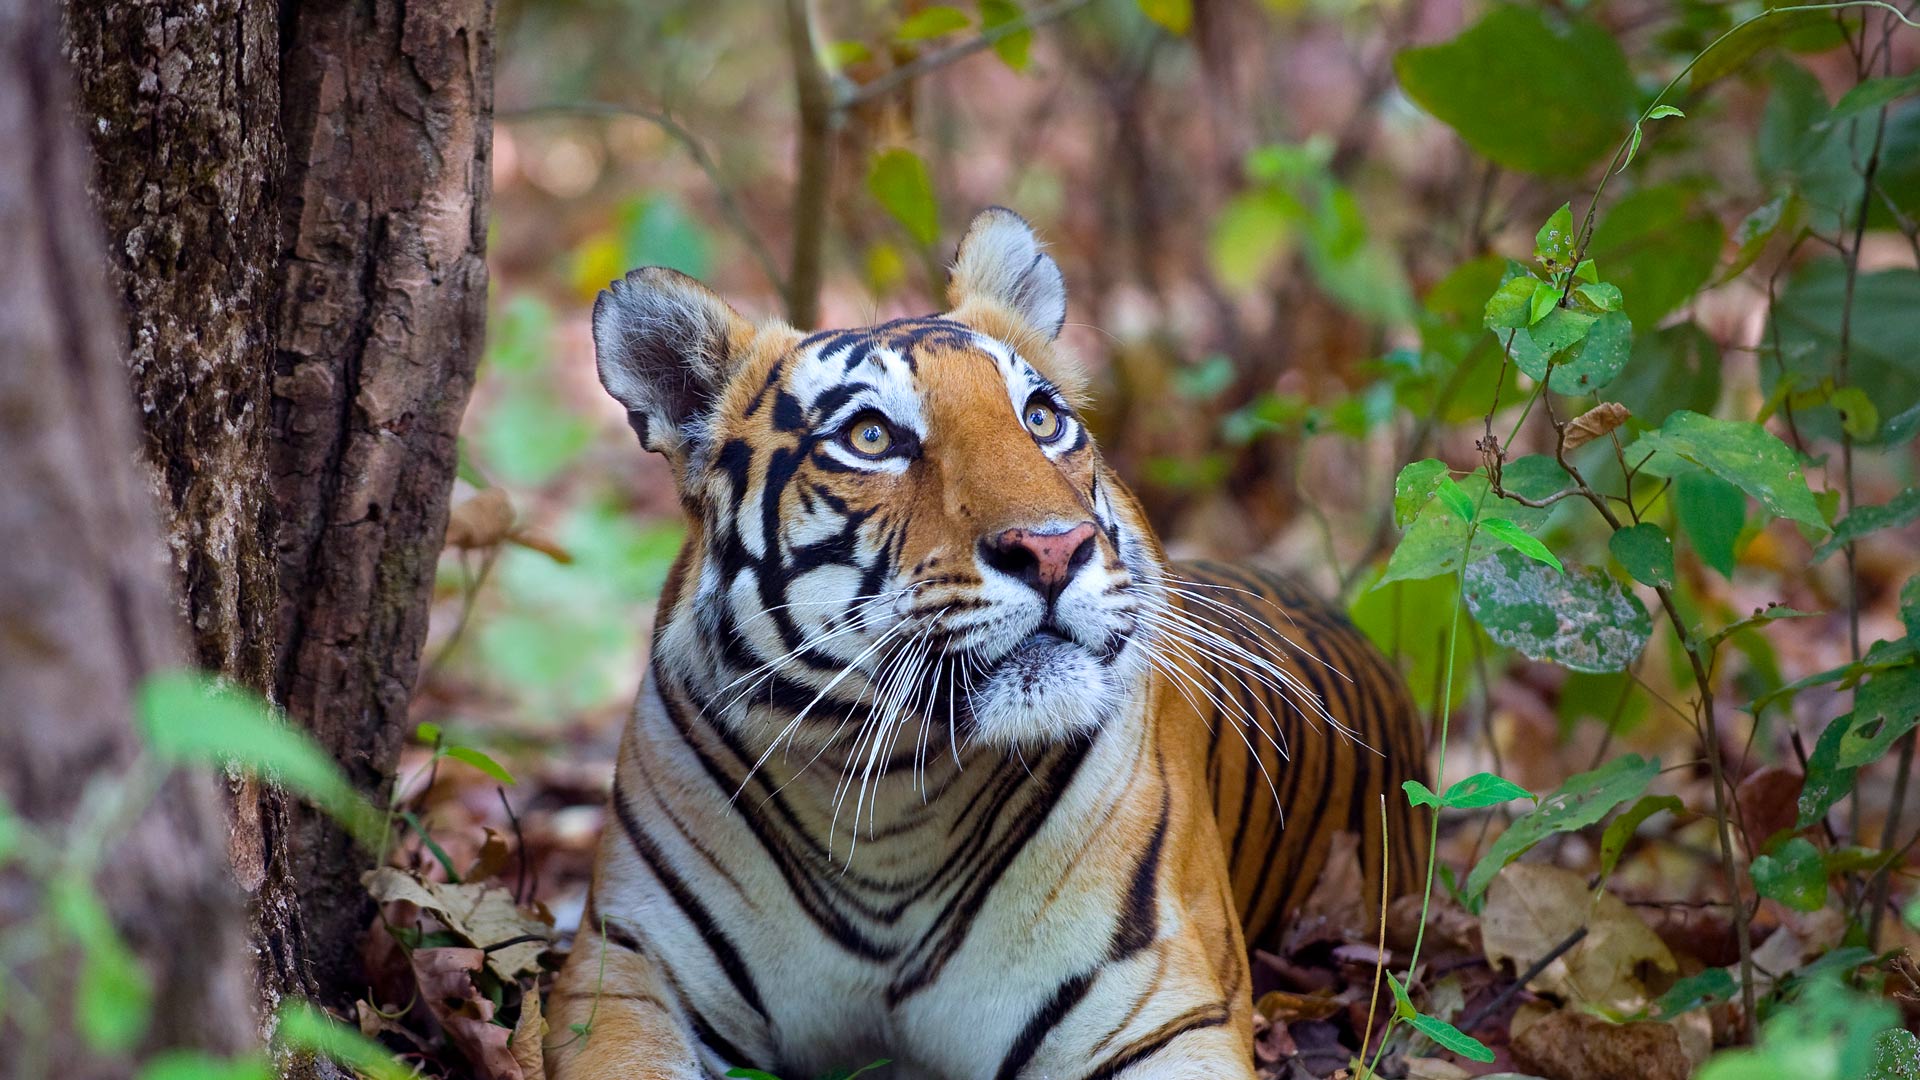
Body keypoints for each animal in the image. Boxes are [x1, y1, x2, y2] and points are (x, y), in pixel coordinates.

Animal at [547, 208, 1428, 1080]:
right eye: (871, 437)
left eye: (1041, 419)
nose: (1054, 549)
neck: (890, 803)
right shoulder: (628, 972)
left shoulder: (1167, 1017)